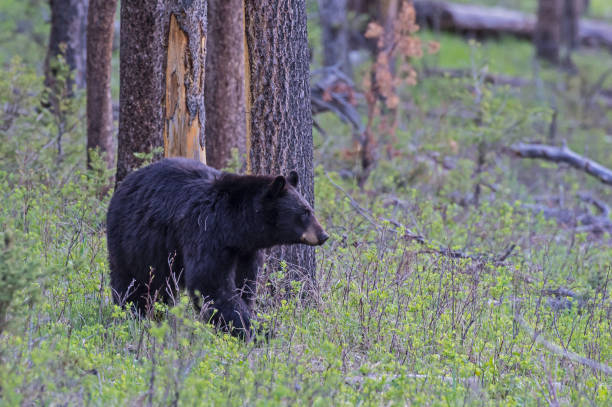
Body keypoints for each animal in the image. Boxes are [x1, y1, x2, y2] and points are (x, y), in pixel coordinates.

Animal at [109, 159, 330, 338]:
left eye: (310, 209)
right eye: (305, 212)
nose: (323, 235)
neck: (235, 225)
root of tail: (125, 183)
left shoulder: (246, 250)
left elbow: (245, 281)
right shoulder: (205, 231)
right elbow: (210, 283)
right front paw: (256, 331)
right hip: (132, 241)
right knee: (133, 282)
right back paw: (133, 313)